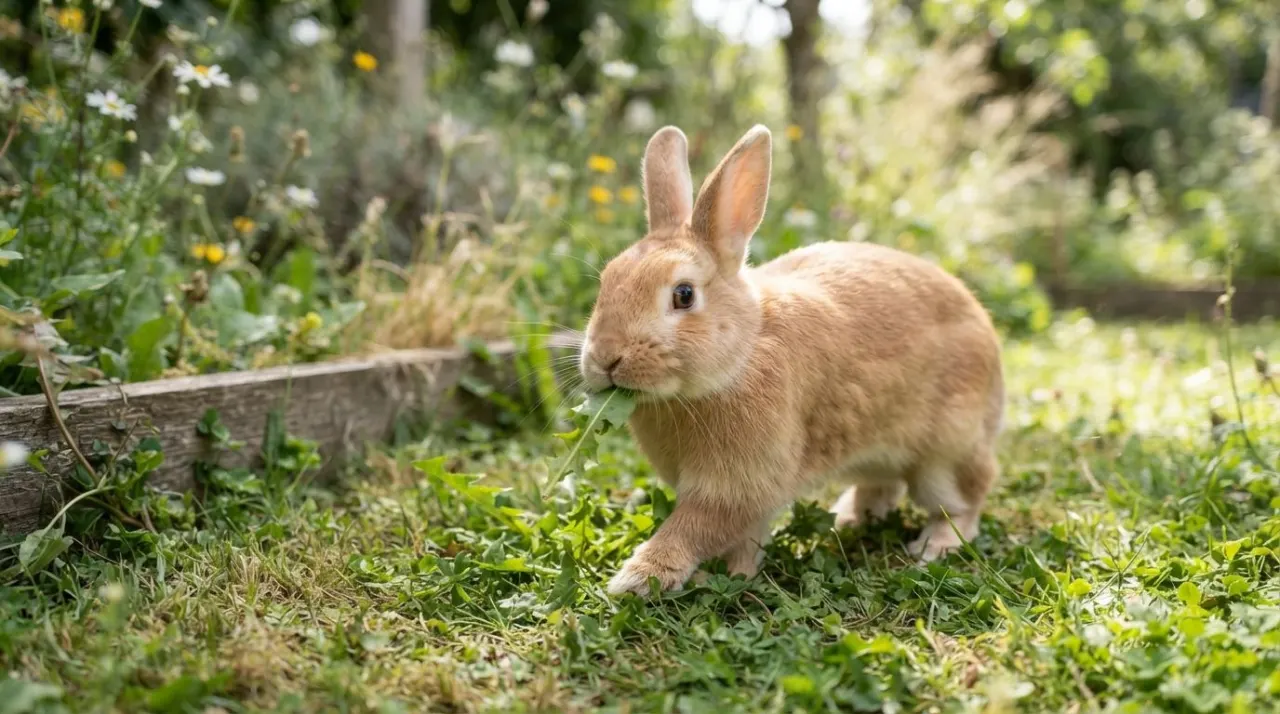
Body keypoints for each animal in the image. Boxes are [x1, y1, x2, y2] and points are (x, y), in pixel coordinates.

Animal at [578, 125, 1004, 597]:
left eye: (684, 295)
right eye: (607, 279)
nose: (605, 358)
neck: (741, 355)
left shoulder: (737, 485)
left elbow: (693, 528)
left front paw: (638, 578)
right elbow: (744, 538)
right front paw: (734, 574)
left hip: (945, 454)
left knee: (966, 497)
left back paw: (936, 545)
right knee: (883, 486)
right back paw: (847, 519)